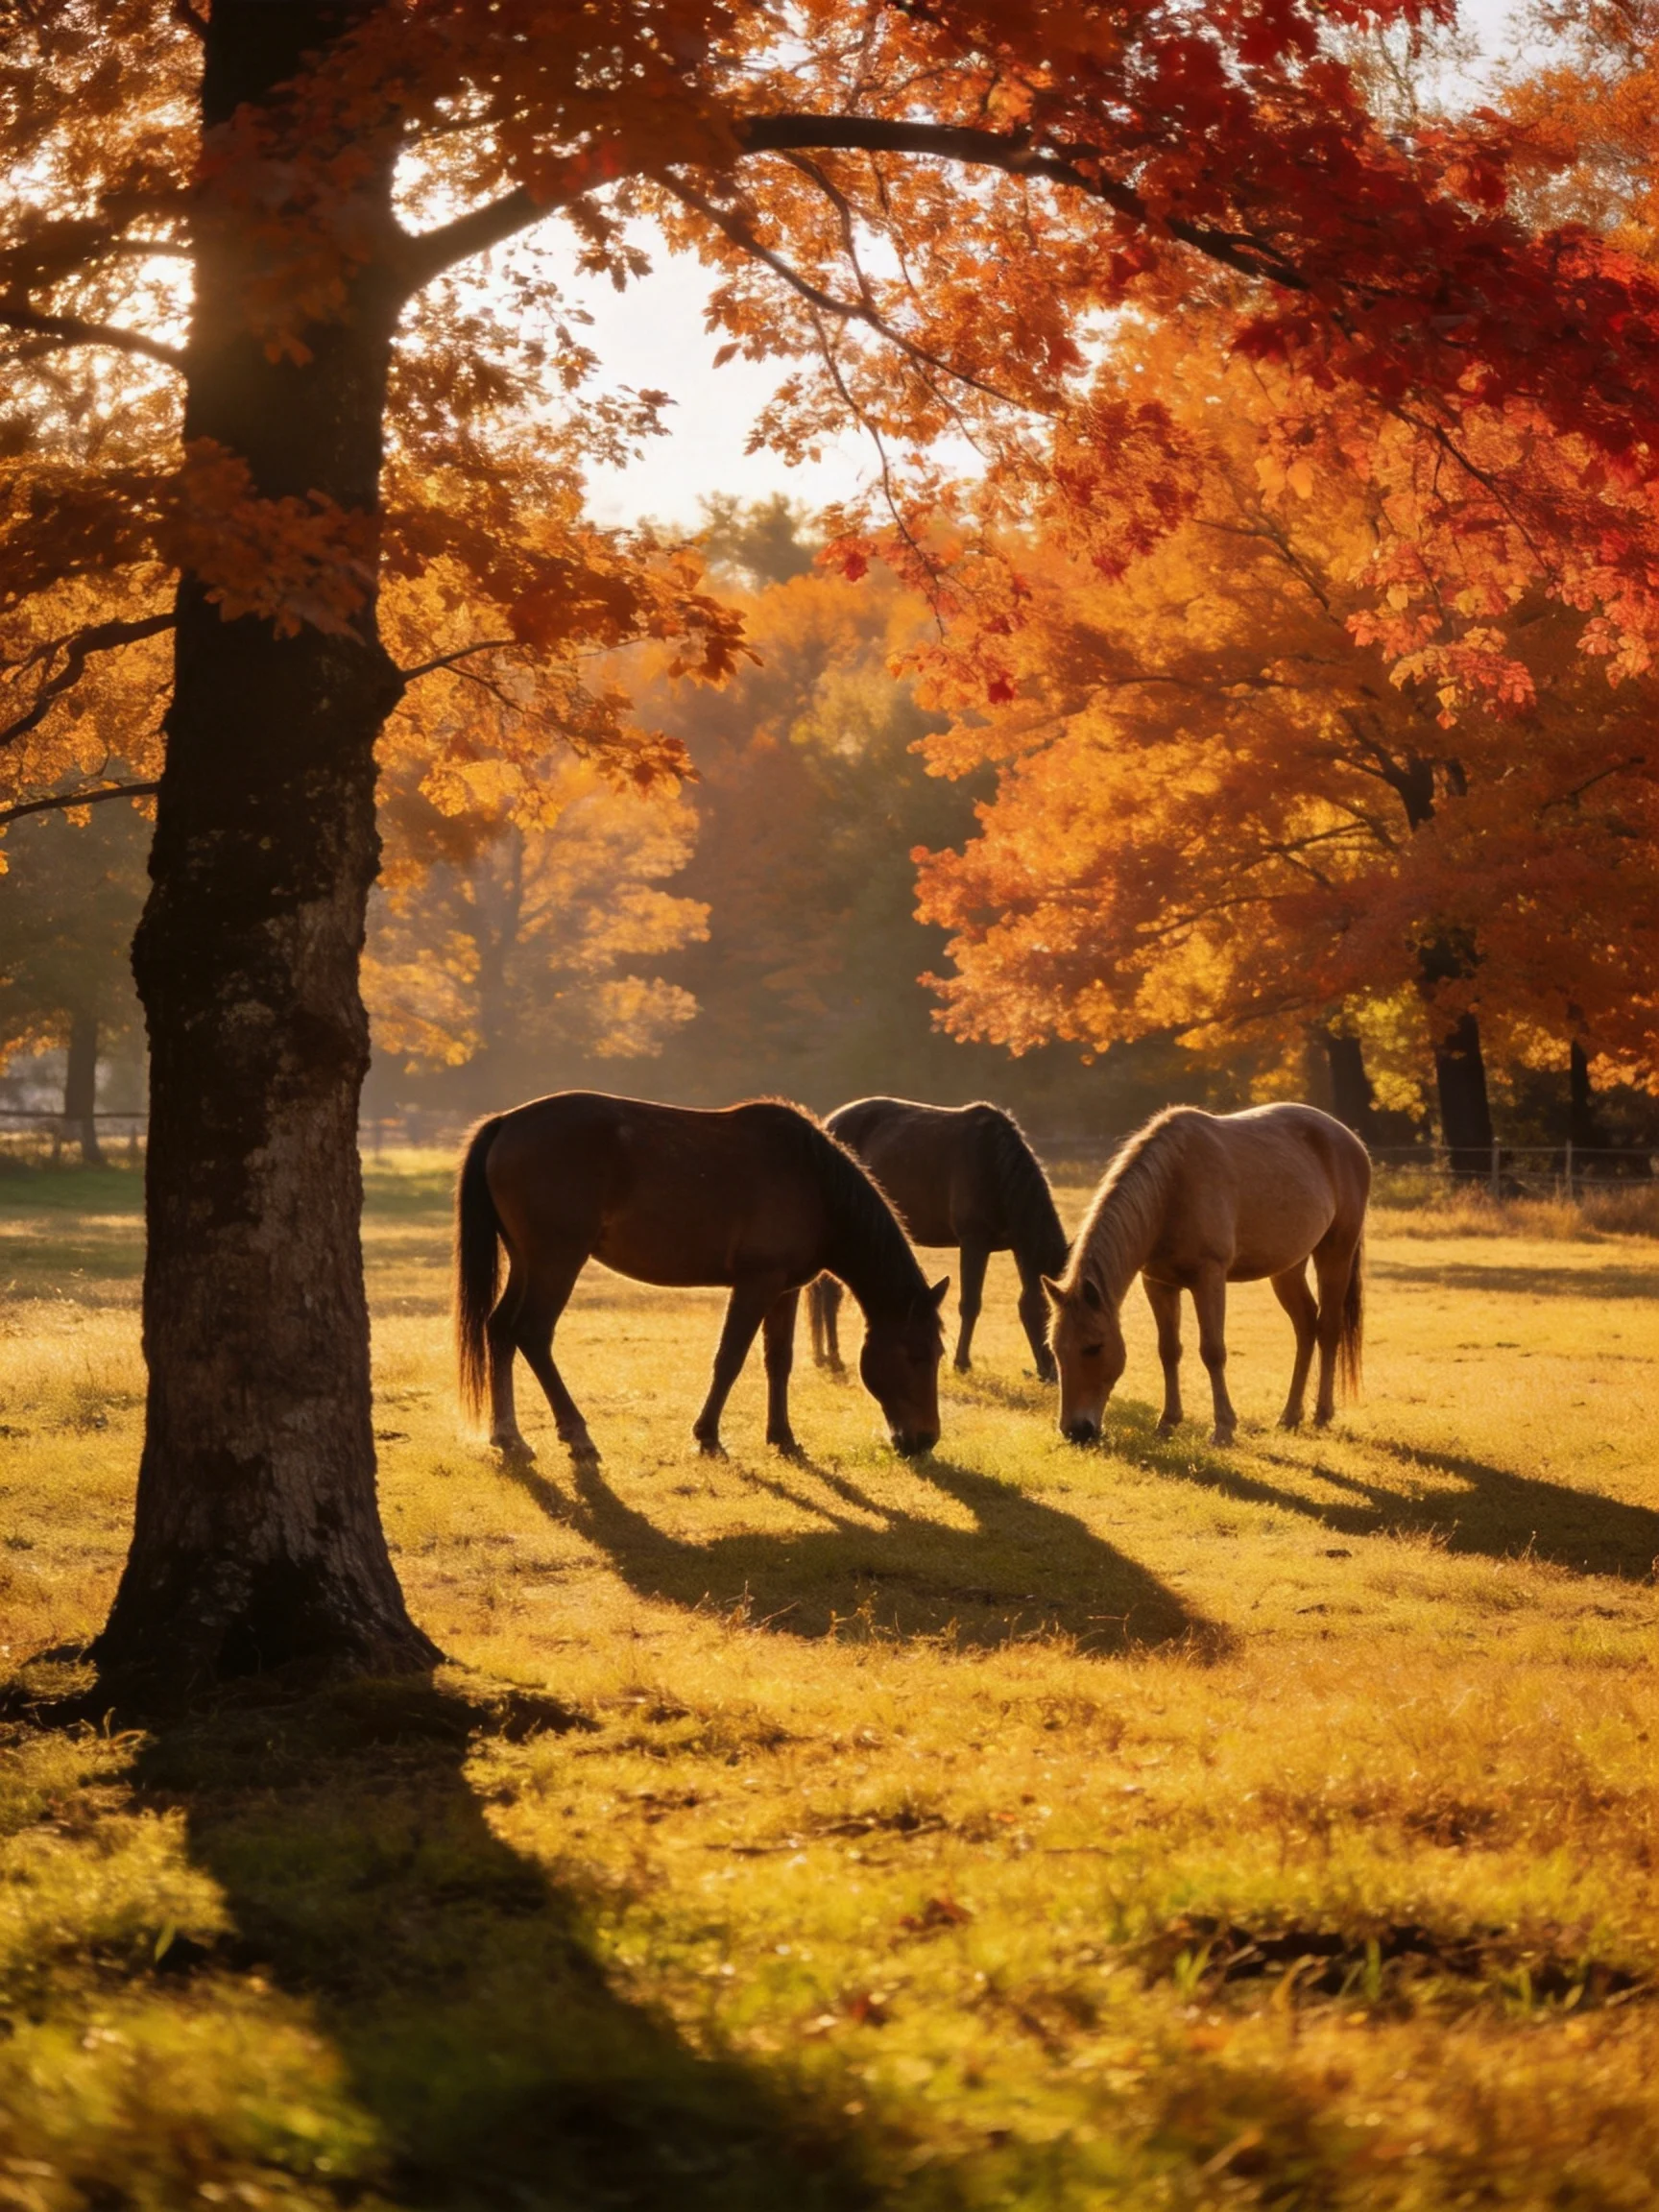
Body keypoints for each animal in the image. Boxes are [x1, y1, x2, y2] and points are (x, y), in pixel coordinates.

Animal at [454, 1092, 948, 1464]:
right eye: (917, 1355)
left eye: (938, 1354)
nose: (924, 1440)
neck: (812, 1182)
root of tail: (506, 1123)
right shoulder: (756, 1284)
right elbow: (730, 1359)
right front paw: (708, 1436)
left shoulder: (783, 1290)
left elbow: (779, 1361)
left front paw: (783, 1438)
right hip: (556, 1261)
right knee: (531, 1333)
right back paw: (576, 1435)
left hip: (527, 1262)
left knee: (500, 1330)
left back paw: (509, 1437)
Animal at [807, 1098, 1071, 1381]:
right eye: (1049, 1313)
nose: (1053, 1374)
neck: (995, 1167)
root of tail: (830, 1123)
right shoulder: (974, 1243)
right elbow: (970, 1304)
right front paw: (961, 1363)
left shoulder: (1016, 1247)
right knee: (830, 1295)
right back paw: (834, 1358)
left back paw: (822, 1356)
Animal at [1043, 1102, 1369, 1448]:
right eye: (1055, 1348)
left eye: (1093, 1347)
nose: (1076, 1431)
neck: (1171, 1188)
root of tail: (1350, 1140)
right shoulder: (1158, 1284)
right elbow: (1168, 1350)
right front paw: (1167, 1422)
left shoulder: (1209, 1278)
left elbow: (1212, 1351)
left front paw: (1223, 1428)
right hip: (1289, 1267)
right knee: (1306, 1326)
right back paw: (1290, 1416)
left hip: (1336, 1253)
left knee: (1328, 1329)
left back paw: (1322, 1414)